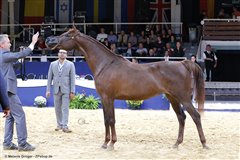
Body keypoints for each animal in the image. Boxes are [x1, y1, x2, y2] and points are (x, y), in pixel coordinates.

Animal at [45, 27, 208, 149]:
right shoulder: (104, 99)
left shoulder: (108, 98)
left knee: (196, 116)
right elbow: (106, 120)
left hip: (183, 98)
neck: (105, 64)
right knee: (182, 117)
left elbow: (111, 120)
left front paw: (111, 143)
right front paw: (105, 143)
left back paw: (204, 144)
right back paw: (176, 144)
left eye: (66, 35)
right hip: (172, 98)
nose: (48, 40)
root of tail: (183, 63)